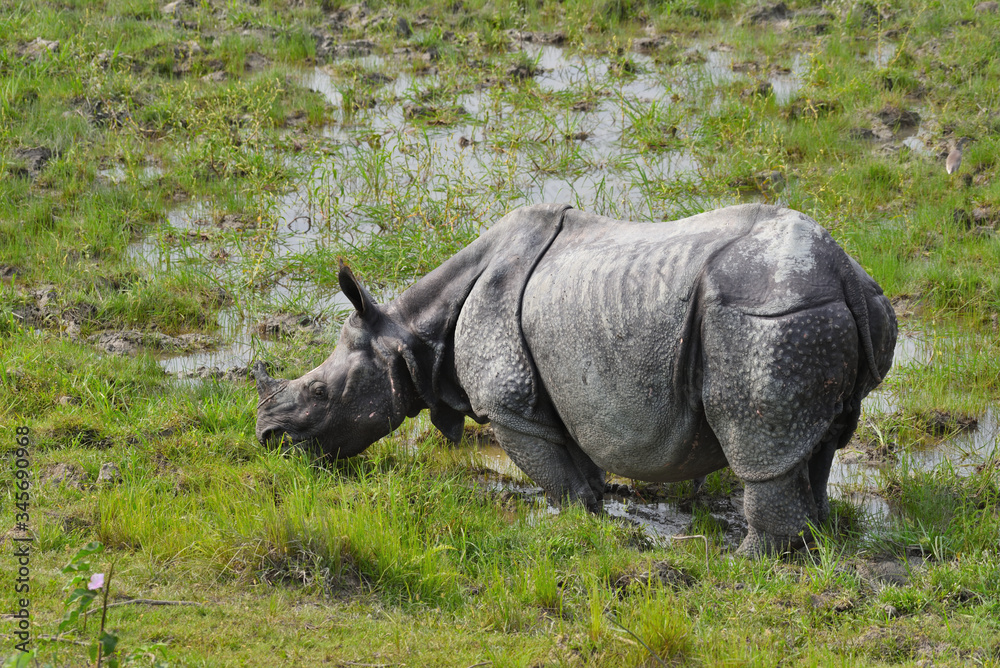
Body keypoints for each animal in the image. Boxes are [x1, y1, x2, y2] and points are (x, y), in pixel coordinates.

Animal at [253, 203, 896, 556]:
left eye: (319, 394)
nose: (268, 438)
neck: (413, 336)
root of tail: (845, 273)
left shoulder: (508, 405)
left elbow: (552, 470)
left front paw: (567, 521)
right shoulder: (556, 392)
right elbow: (576, 458)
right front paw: (596, 511)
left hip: (769, 318)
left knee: (761, 443)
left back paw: (746, 563)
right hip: (819, 313)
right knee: (816, 443)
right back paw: (813, 541)